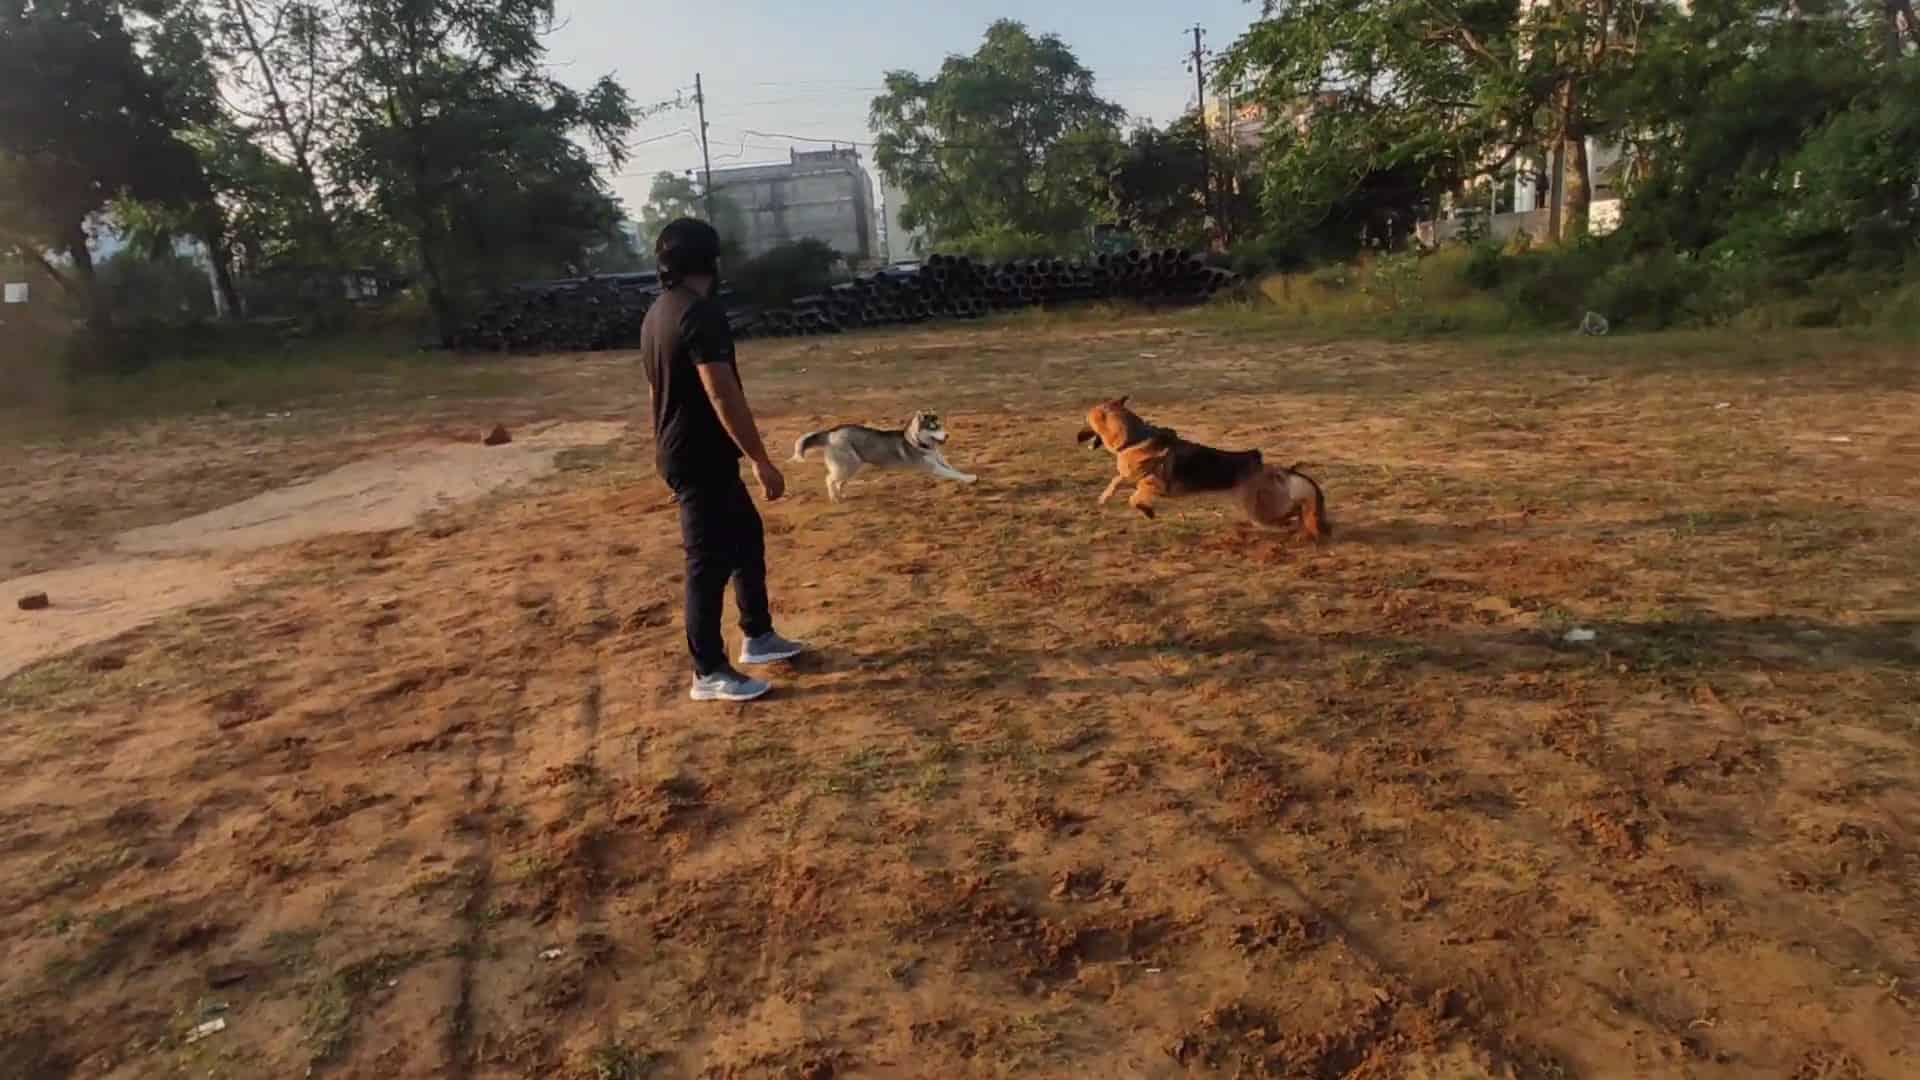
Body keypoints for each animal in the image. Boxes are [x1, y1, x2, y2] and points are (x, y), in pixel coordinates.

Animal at [791, 407, 975, 499]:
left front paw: (968, 476)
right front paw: (969, 479)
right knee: (829, 479)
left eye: (940, 426)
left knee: (838, 482)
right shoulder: (932, 467)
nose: (947, 435)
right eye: (932, 427)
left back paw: (841, 494)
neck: (918, 442)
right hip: (848, 465)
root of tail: (831, 432)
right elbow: (952, 473)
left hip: (850, 467)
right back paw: (833, 497)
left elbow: (954, 469)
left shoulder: (941, 461)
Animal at [1082, 395, 1336, 538]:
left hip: (1259, 511)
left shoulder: (1153, 483)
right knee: (1295, 513)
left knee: (1290, 515)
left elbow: (1133, 497)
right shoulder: (1133, 477)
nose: (1078, 436)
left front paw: (1146, 510)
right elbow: (1117, 481)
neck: (1133, 438)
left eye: (1087, 422)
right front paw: (1105, 498)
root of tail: (1272, 468)